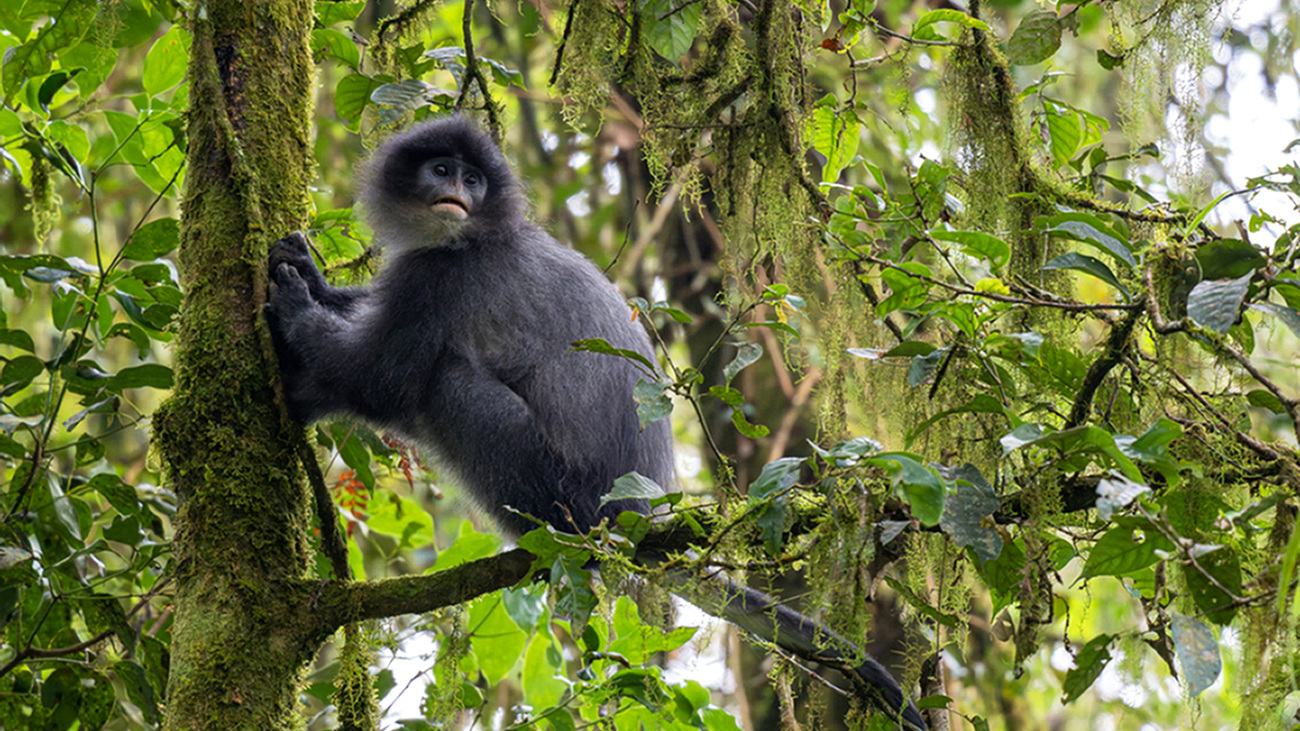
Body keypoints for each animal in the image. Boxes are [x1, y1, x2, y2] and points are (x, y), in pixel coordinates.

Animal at [263, 115, 925, 728]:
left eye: (472, 179)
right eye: (443, 170)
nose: (457, 192)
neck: (476, 233)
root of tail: (633, 519)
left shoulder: (438, 279)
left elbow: (379, 379)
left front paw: (297, 318)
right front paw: (312, 274)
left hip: (556, 486)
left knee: (444, 381)